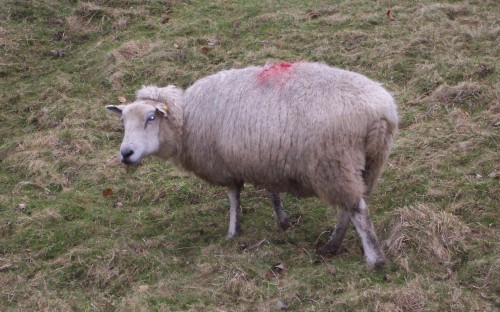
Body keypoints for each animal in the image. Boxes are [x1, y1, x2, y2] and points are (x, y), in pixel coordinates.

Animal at [106, 61, 398, 268]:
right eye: (123, 122)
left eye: (151, 117)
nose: (126, 153)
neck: (187, 120)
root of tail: (380, 111)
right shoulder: (265, 159)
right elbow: (272, 191)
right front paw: (282, 220)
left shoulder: (227, 165)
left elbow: (234, 197)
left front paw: (233, 232)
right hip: (368, 163)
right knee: (351, 207)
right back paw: (332, 245)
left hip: (334, 162)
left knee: (357, 210)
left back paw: (374, 260)